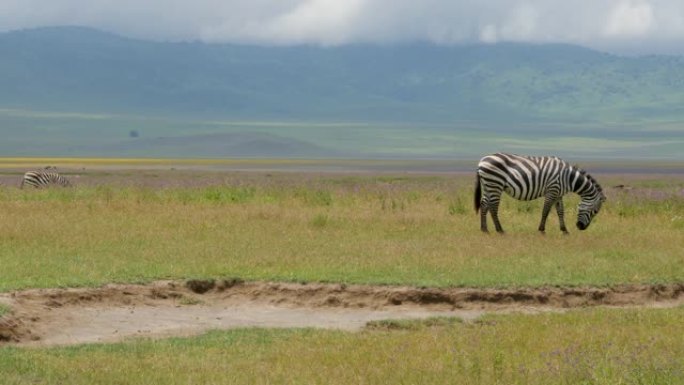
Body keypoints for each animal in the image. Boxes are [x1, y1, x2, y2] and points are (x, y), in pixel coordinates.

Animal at [472, 152, 608, 231]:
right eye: (595, 211)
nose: (581, 227)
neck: (568, 178)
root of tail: (481, 161)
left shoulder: (558, 194)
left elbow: (560, 212)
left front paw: (564, 230)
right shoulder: (552, 190)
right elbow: (545, 211)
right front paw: (541, 229)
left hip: (488, 185)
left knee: (484, 204)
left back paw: (484, 229)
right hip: (495, 184)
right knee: (493, 207)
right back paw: (500, 230)